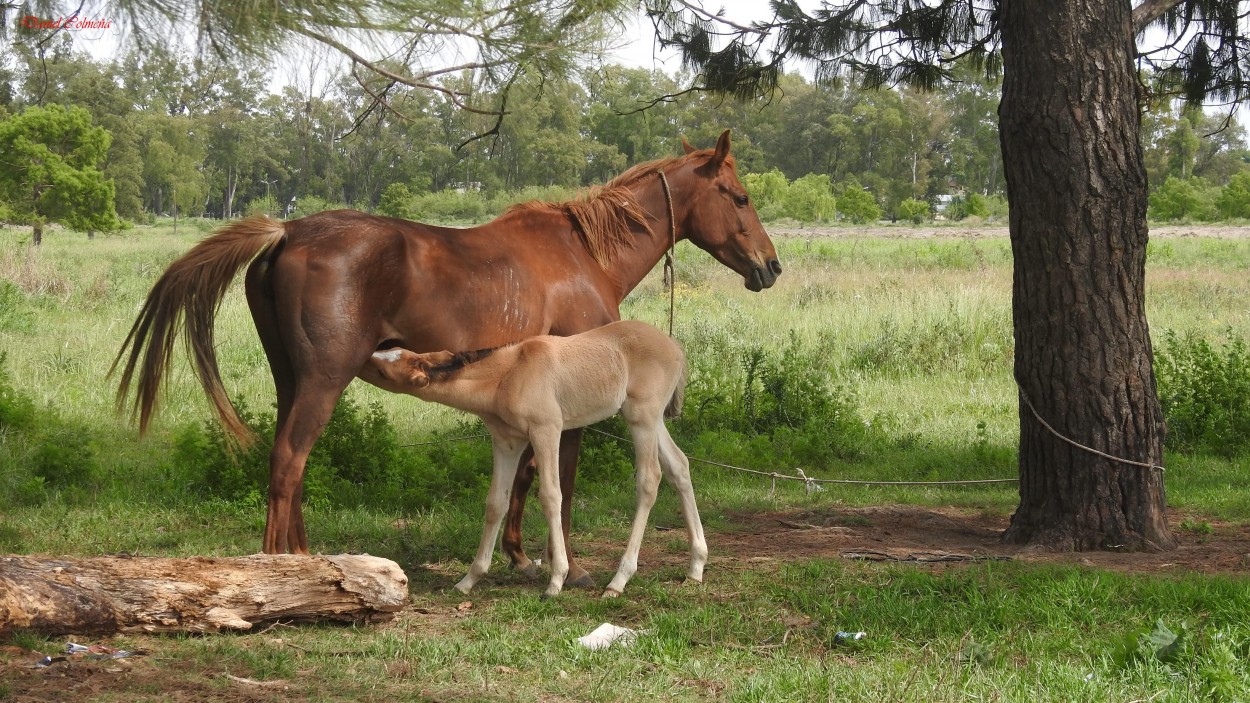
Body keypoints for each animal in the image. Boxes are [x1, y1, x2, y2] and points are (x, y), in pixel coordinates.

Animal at [117, 130, 780, 575]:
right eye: (739, 197)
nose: (770, 267)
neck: (583, 253)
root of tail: (288, 231)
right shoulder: (568, 403)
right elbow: (560, 479)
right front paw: (558, 560)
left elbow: (523, 476)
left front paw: (517, 553)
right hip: (323, 382)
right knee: (288, 461)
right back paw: (289, 565)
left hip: (291, 381)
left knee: (289, 460)